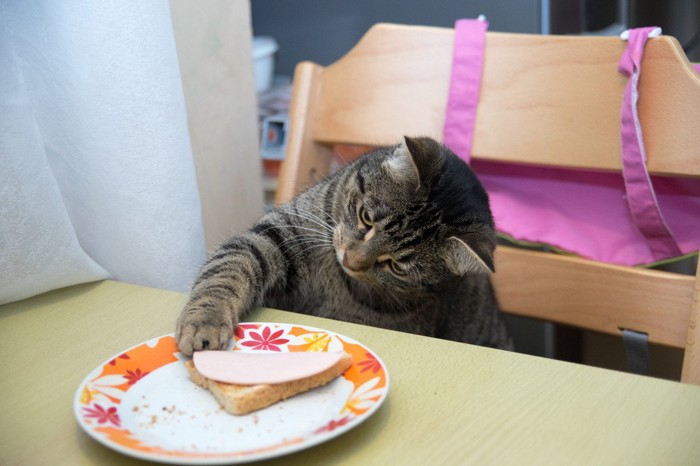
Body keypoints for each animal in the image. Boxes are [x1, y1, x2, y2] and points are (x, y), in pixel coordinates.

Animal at [176, 137, 516, 354]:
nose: (351, 260)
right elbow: (228, 269)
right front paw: (205, 321)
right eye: (366, 217)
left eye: (396, 265)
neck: (336, 280)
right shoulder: (275, 234)